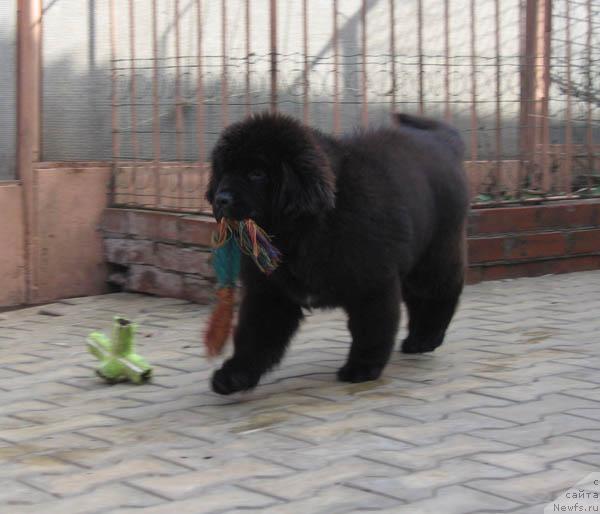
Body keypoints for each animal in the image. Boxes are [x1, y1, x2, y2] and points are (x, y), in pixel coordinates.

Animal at [206, 111, 468, 392]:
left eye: (256, 173)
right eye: (224, 172)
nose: (220, 198)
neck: (305, 230)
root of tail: (443, 142)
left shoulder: (372, 282)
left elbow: (371, 328)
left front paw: (362, 368)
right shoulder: (270, 292)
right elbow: (255, 335)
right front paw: (234, 375)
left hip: (435, 253)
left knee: (442, 290)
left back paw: (428, 337)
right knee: (416, 297)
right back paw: (416, 339)